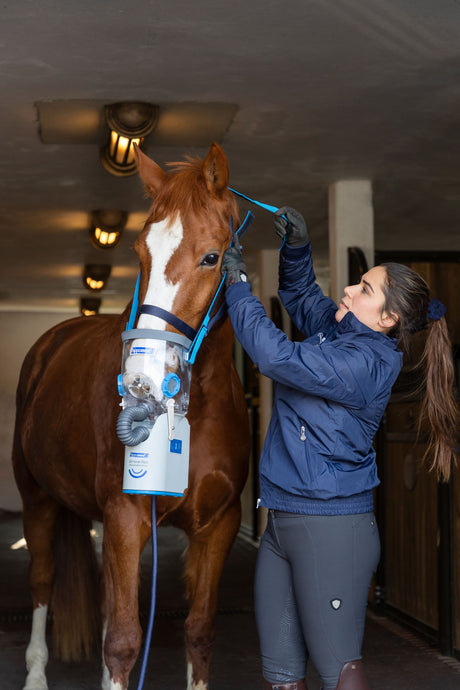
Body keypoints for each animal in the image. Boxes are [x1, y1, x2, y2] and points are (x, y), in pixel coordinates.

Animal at [12, 142, 251, 690]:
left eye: (211, 256)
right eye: (141, 253)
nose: (141, 376)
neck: (195, 409)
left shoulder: (219, 526)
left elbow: (199, 633)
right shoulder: (125, 516)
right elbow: (122, 641)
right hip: (37, 500)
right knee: (42, 581)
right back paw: (35, 673)